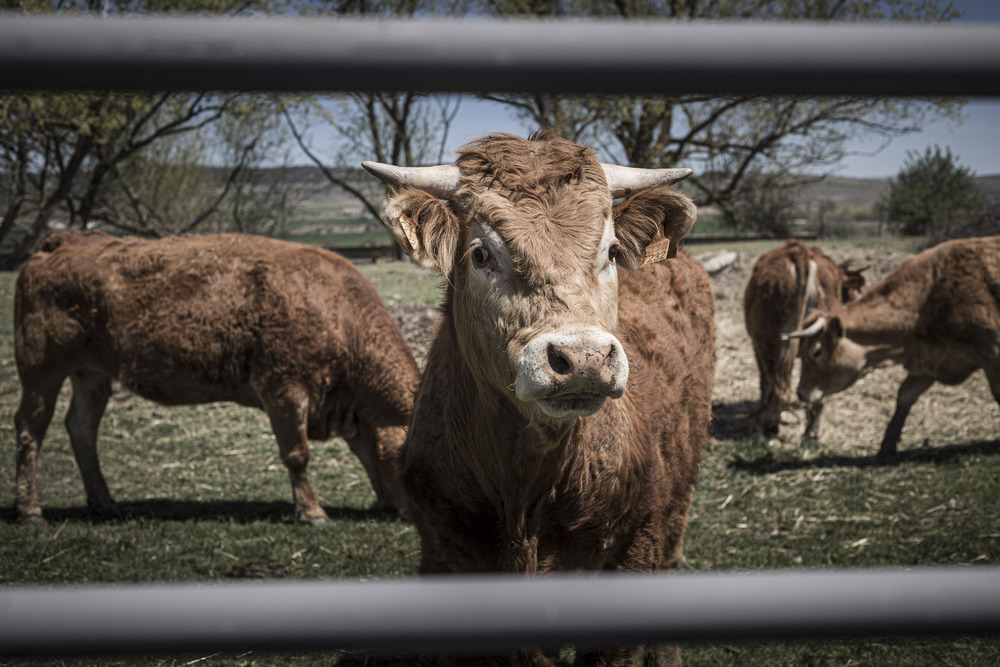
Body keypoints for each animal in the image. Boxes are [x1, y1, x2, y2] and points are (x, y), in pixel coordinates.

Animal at [13, 232, 418, 524]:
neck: (336, 312)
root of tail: (60, 241)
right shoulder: (285, 391)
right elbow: (297, 454)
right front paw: (312, 513)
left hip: (91, 375)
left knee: (82, 428)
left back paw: (105, 503)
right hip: (41, 372)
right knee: (30, 430)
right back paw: (31, 512)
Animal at [364, 132, 716, 667]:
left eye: (612, 251)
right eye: (481, 254)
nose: (584, 357)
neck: (523, 487)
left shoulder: (632, 550)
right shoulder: (445, 555)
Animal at [744, 240, 868, 438]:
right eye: (855, 289)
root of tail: (801, 253)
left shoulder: (758, 347)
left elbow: (765, 383)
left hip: (768, 343)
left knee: (776, 385)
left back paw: (767, 423)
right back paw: (812, 431)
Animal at [784, 237, 1000, 462]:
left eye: (816, 352)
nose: (801, 393)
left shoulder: (992, 352)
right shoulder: (929, 362)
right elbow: (904, 396)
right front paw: (887, 445)